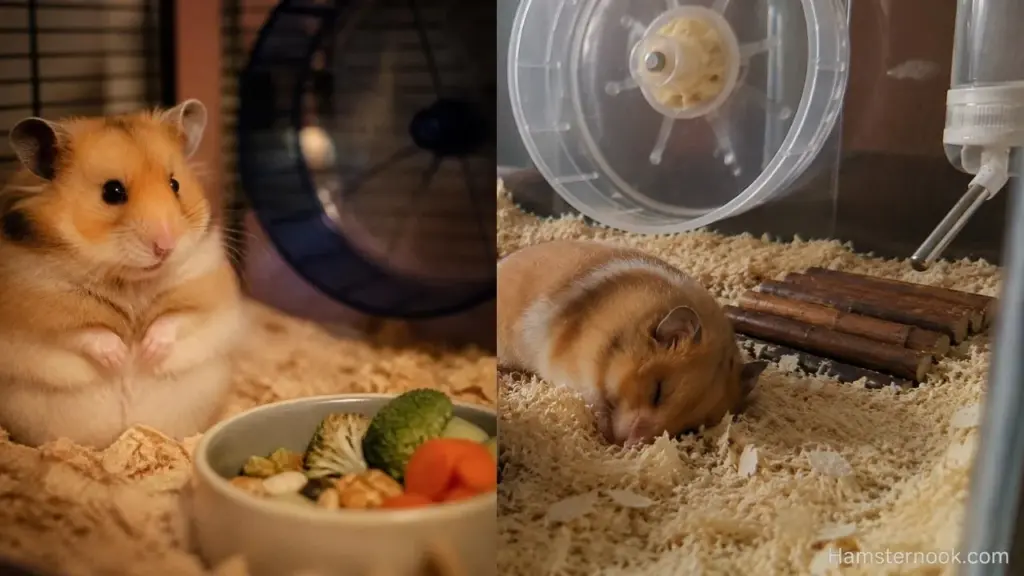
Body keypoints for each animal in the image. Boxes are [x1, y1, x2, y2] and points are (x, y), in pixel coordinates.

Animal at [0, 99, 245, 448]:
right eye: (112, 191)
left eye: (175, 184)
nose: (166, 245)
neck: (129, 280)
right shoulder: (37, 313)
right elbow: (84, 334)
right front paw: (119, 358)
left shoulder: (203, 291)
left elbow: (175, 319)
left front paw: (146, 354)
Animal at [497, 240, 766, 446]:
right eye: (656, 391)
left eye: (689, 429)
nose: (630, 444)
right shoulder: (575, 370)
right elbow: (594, 400)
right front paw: (606, 433)